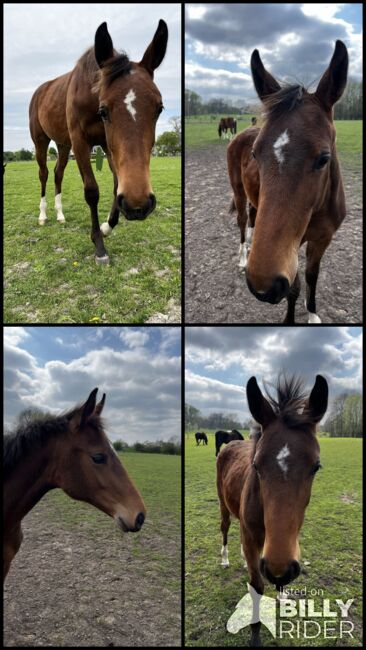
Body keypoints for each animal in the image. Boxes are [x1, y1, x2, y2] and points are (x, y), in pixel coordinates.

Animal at [29, 20, 169, 264]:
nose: (138, 205)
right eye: (103, 111)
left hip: (63, 145)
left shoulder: (107, 145)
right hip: (41, 142)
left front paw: (106, 227)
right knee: (44, 174)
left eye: (159, 108)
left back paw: (60, 214)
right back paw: (43, 215)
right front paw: (99, 245)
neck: (88, 94)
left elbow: (116, 185)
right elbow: (92, 191)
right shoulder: (80, 143)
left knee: (58, 173)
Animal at [216, 372, 328, 644]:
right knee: (225, 528)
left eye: (316, 466)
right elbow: (257, 587)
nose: (278, 568)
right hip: (224, 506)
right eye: (256, 465)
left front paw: (282, 594)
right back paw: (225, 559)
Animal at [229, 40, 348, 322]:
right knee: (242, 220)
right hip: (238, 192)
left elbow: (312, 276)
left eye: (324, 158)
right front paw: (289, 320)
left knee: (252, 217)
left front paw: (313, 314)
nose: (263, 286)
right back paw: (243, 256)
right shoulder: (290, 249)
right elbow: (294, 286)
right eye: (255, 154)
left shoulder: (322, 239)